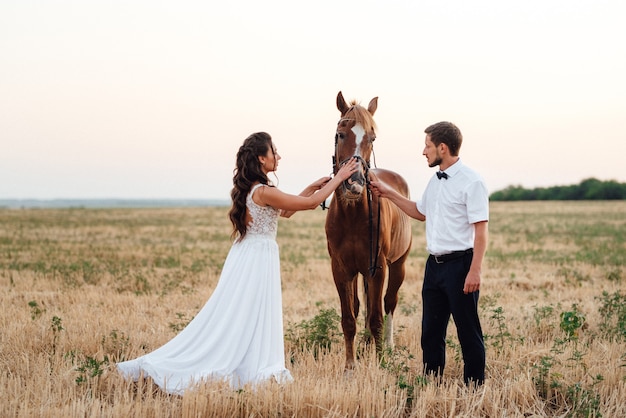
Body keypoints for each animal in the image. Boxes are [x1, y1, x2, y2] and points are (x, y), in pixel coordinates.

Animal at [324, 91, 412, 370]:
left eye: (372, 138)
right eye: (341, 134)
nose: (354, 184)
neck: (353, 215)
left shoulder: (378, 267)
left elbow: (376, 317)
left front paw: (381, 363)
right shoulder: (341, 269)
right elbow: (349, 316)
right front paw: (350, 366)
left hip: (398, 265)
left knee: (389, 302)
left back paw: (388, 346)